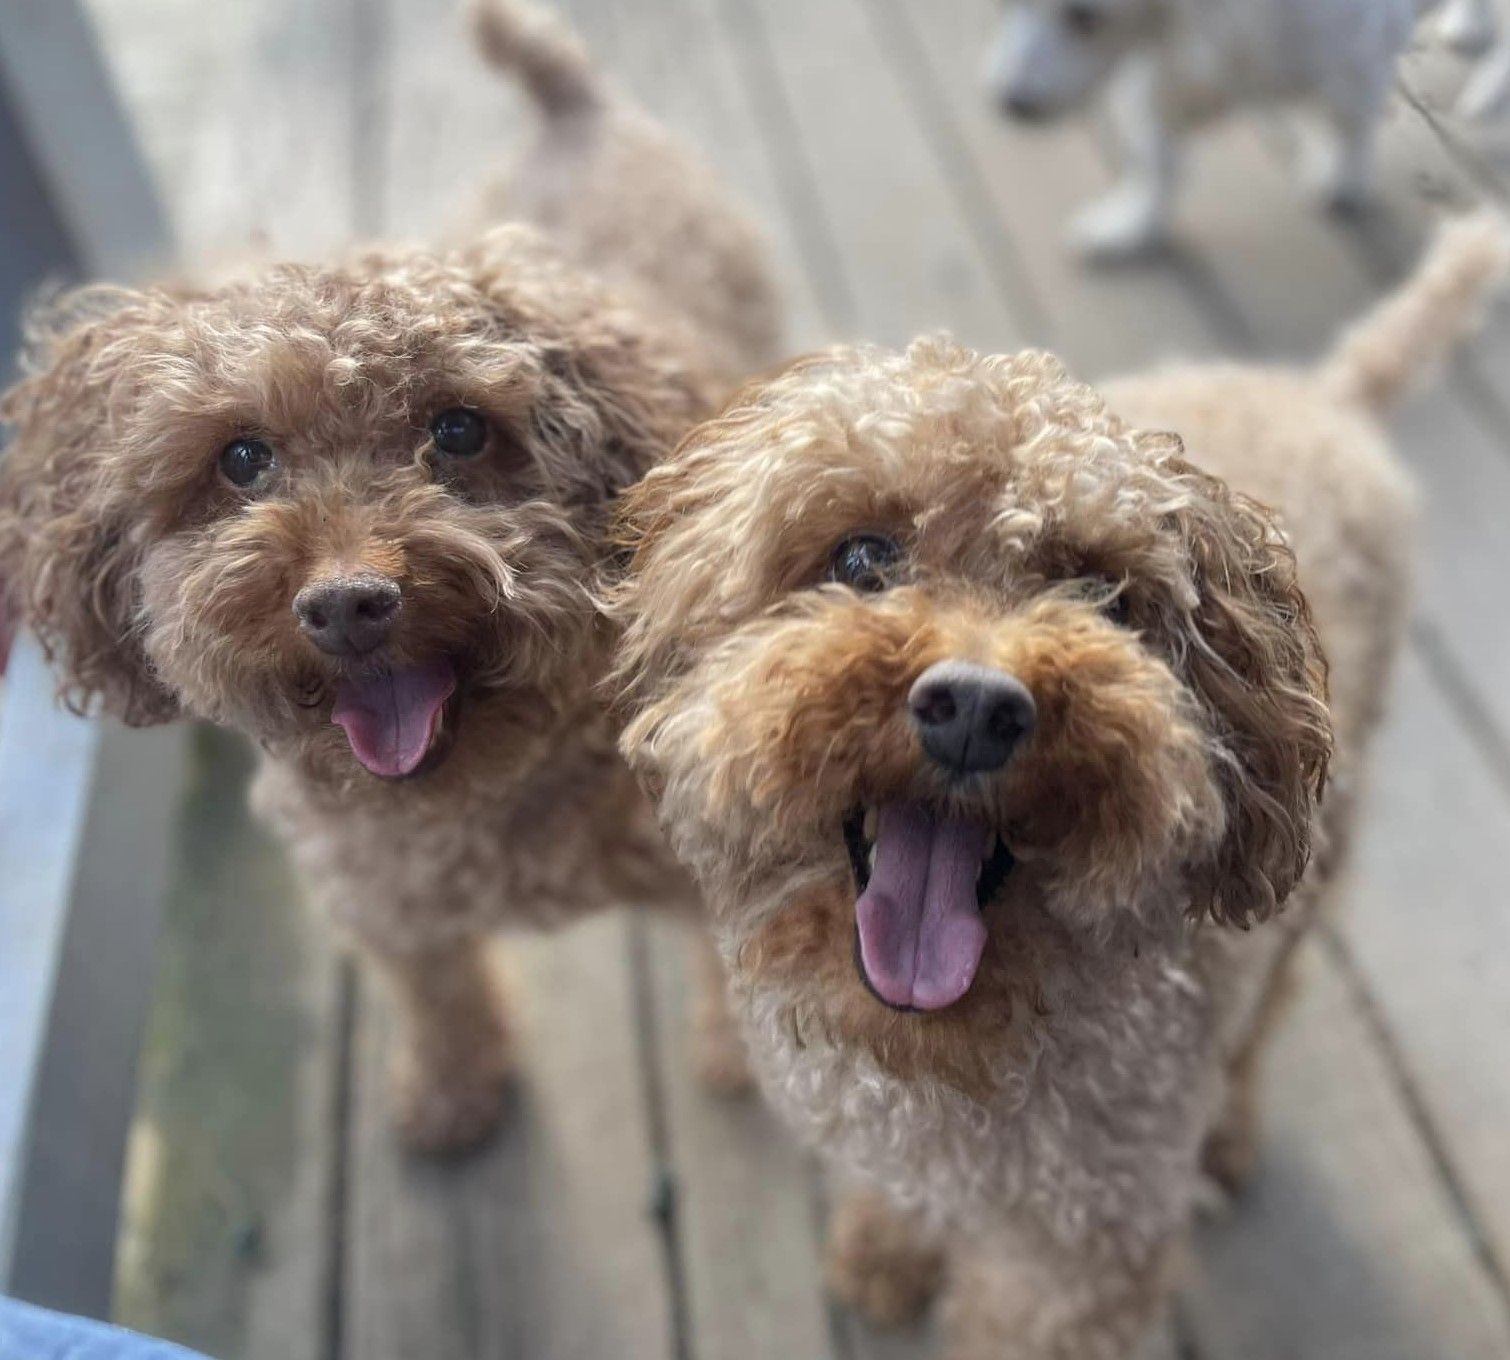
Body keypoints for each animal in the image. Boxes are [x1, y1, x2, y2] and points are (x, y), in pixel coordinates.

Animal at [0, 0, 779, 1153]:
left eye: (459, 430)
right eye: (240, 458)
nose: (349, 604)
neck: (474, 809)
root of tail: (568, 108)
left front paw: (743, 1063)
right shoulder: (384, 906)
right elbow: (435, 991)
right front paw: (450, 1096)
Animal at [607, 217, 1503, 1352]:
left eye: (1104, 593)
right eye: (860, 554)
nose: (974, 706)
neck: (955, 1056)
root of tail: (1331, 393)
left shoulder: (1083, 1253)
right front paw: (882, 1255)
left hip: (1320, 857)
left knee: (1274, 996)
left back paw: (1228, 1132)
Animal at [990, 0, 1497, 258]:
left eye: (1085, 17)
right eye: (1003, 4)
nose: (1009, 103)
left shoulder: (1353, 64)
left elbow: (1349, 131)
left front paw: (1340, 182)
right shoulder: (1159, 78)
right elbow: (1157, 163)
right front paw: (1132, 226)